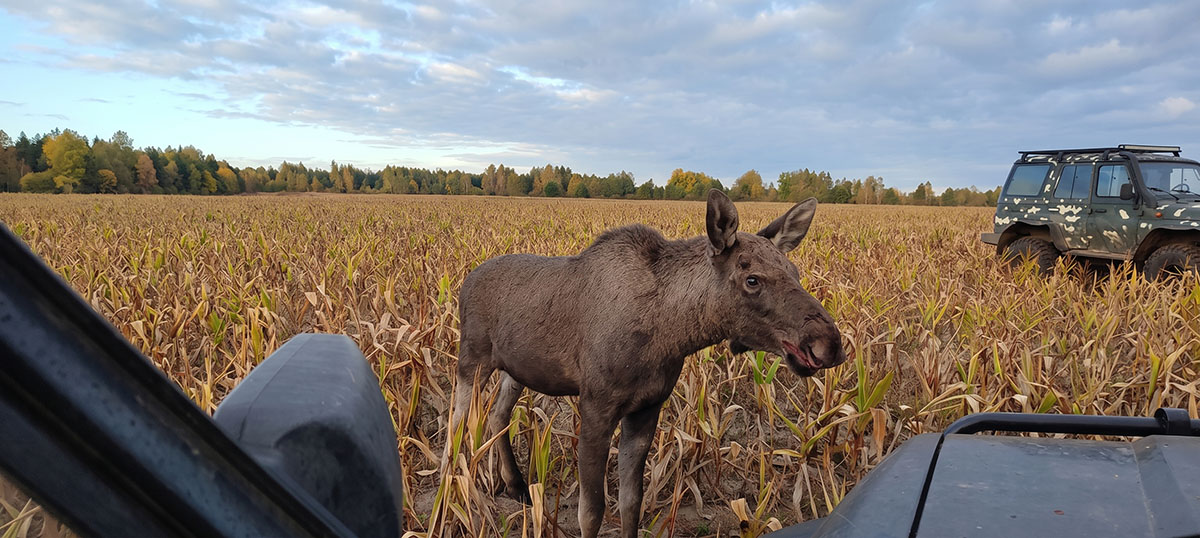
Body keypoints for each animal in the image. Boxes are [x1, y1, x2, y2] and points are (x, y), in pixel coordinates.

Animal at [450, 189, 846, 537]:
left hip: (515, 370)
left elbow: (631, 503)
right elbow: (591, 512)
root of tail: (465, 280)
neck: (671, 333)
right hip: (472, 358)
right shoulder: (596, 406)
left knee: (498, 415)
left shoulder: (647, 408)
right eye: (752, 279)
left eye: (795, 273)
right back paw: (452, 488)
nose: (828, 343)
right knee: (458, 422)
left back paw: (515, 485)